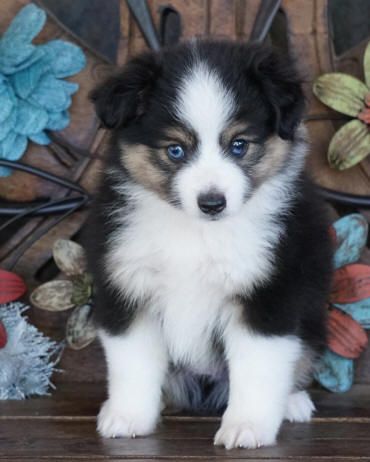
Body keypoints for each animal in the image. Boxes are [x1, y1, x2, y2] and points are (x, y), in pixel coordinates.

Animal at [86, 41, 332, 450]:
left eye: (239, 145)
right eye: (175, 151)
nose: (212, 202)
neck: (197, 233)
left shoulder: (267, 292)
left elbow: (258, 368)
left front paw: (247, 427)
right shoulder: (129, 285)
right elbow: (132, 362)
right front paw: (128, 417)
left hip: (313, 317)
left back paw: (292, 402)